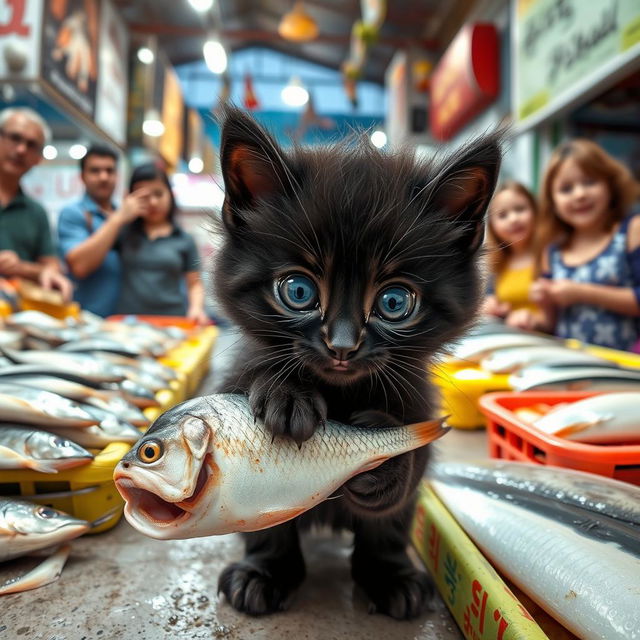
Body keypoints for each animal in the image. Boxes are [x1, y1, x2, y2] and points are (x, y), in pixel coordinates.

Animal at [214, 106, 500, 620]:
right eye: (299, 291)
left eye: (394, 302)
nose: (342, 345)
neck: (341, 390)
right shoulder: (235, 377)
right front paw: (287, 395)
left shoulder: (420, 407)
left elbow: (401, 485)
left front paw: (384, 461)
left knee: (386, 533)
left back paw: (392, 579)